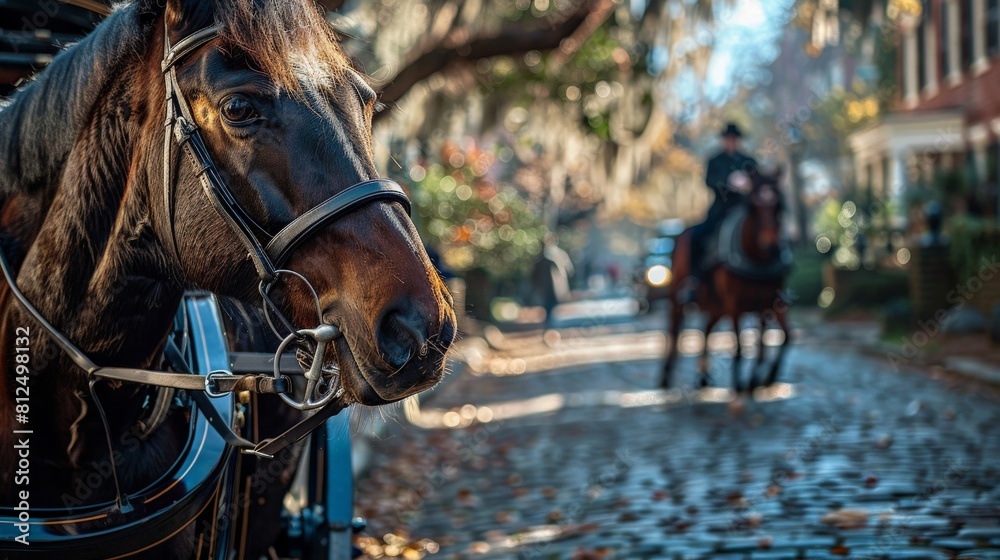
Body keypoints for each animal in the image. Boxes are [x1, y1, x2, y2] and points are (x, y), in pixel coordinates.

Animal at [660, 169, 791, 394]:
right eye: (753, 206)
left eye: (779, 206)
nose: (772, 247)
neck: (757, 257)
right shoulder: (734, 304)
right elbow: (740, 346)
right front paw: (740, 384)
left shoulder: (771, 303)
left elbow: (779, 340)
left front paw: (765, 378)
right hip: (678, 296)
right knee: (674, 329)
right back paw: (665, 377)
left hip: (716, 306)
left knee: (706, 329)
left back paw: (703, 377)